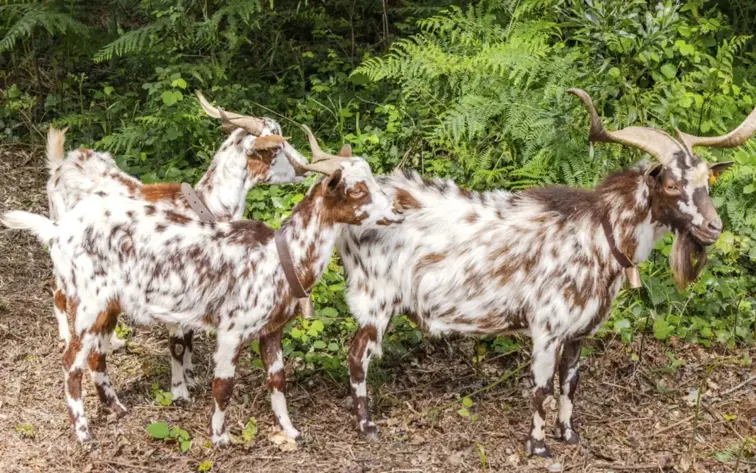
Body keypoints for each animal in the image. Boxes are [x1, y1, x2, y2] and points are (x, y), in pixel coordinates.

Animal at [1, 129, 405, 445]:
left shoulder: (271, 330)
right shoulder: (232, 329)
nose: (397, 211)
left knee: (95, 356)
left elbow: (277, 380)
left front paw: (290, 431)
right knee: (70, 361)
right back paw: (84, 434)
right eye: (357, 191)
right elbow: (222, 385)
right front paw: (219, 437)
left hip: (108, 304)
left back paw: (115, 408)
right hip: (86, 302)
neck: (280, 256)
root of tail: (59, 231)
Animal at [44, 91, 309, 402]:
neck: (206, 206)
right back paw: (66, 336)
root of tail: (62, 163)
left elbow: (190, 337)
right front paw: (179, 390)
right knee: (59, 293)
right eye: (277, 145)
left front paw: (191, 378)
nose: (305, 166)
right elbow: (177, 343)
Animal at [335, 89, 755, 456]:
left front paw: (568, 435)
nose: (713, 228)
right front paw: (537, 446)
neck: (598, 234)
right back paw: (367, 427)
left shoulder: (578, 332)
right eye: (669, 183)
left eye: (706, 181)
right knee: (357, 355)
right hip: (375, 300)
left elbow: (569, 384)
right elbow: (541, 389)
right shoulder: (547, 327)